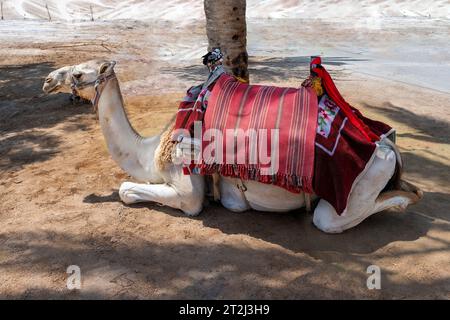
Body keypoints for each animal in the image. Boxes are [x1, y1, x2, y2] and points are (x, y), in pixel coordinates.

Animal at [41, 60, 422, 234]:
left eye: (79, 74)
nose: (46, 80)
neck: (151, 150)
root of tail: (387, 146)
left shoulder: (188, 189)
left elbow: (127, 191)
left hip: (357, 186)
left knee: (336, 217)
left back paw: (405, 200)